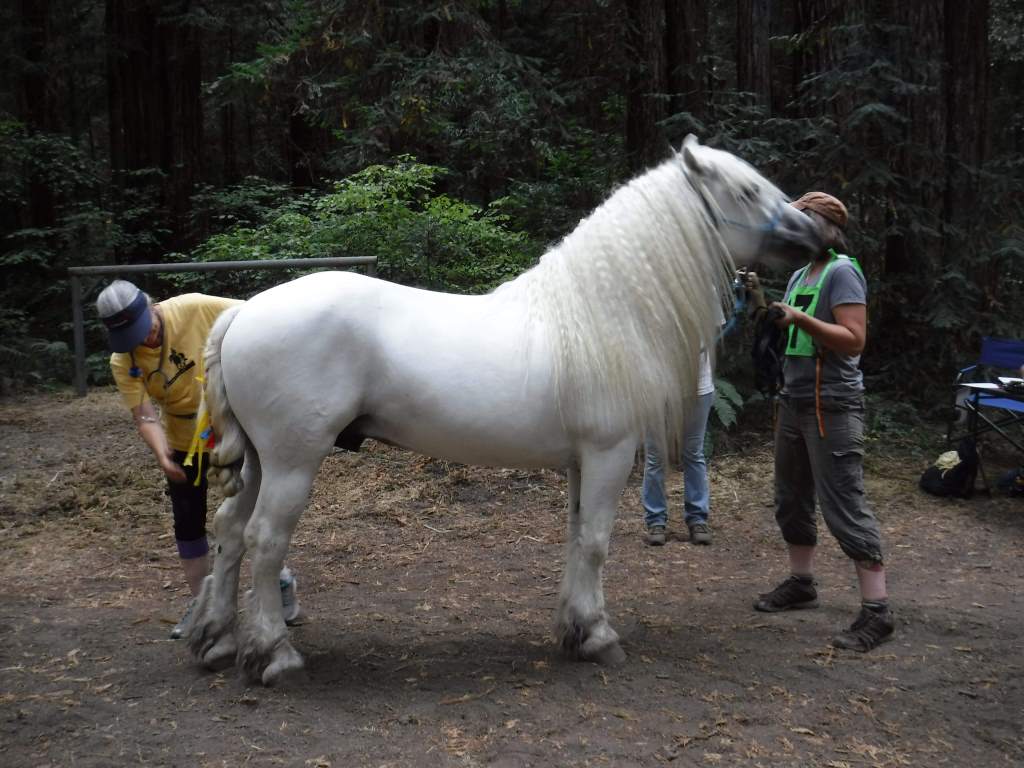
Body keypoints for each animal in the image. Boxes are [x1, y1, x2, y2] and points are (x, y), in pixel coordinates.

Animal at [187, 135, 821, 685]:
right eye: (746, 191)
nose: (817, 230)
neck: (603, 314)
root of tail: (243, 312)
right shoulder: (610, 453)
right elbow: (596, 541)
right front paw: (598, 636)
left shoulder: (581, 462)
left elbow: (575, 537)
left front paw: (573, 628)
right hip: (293, 461)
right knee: (267, 539)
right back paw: (273, 655)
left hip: (261, 462)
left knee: (231, 531)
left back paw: (217, 640)